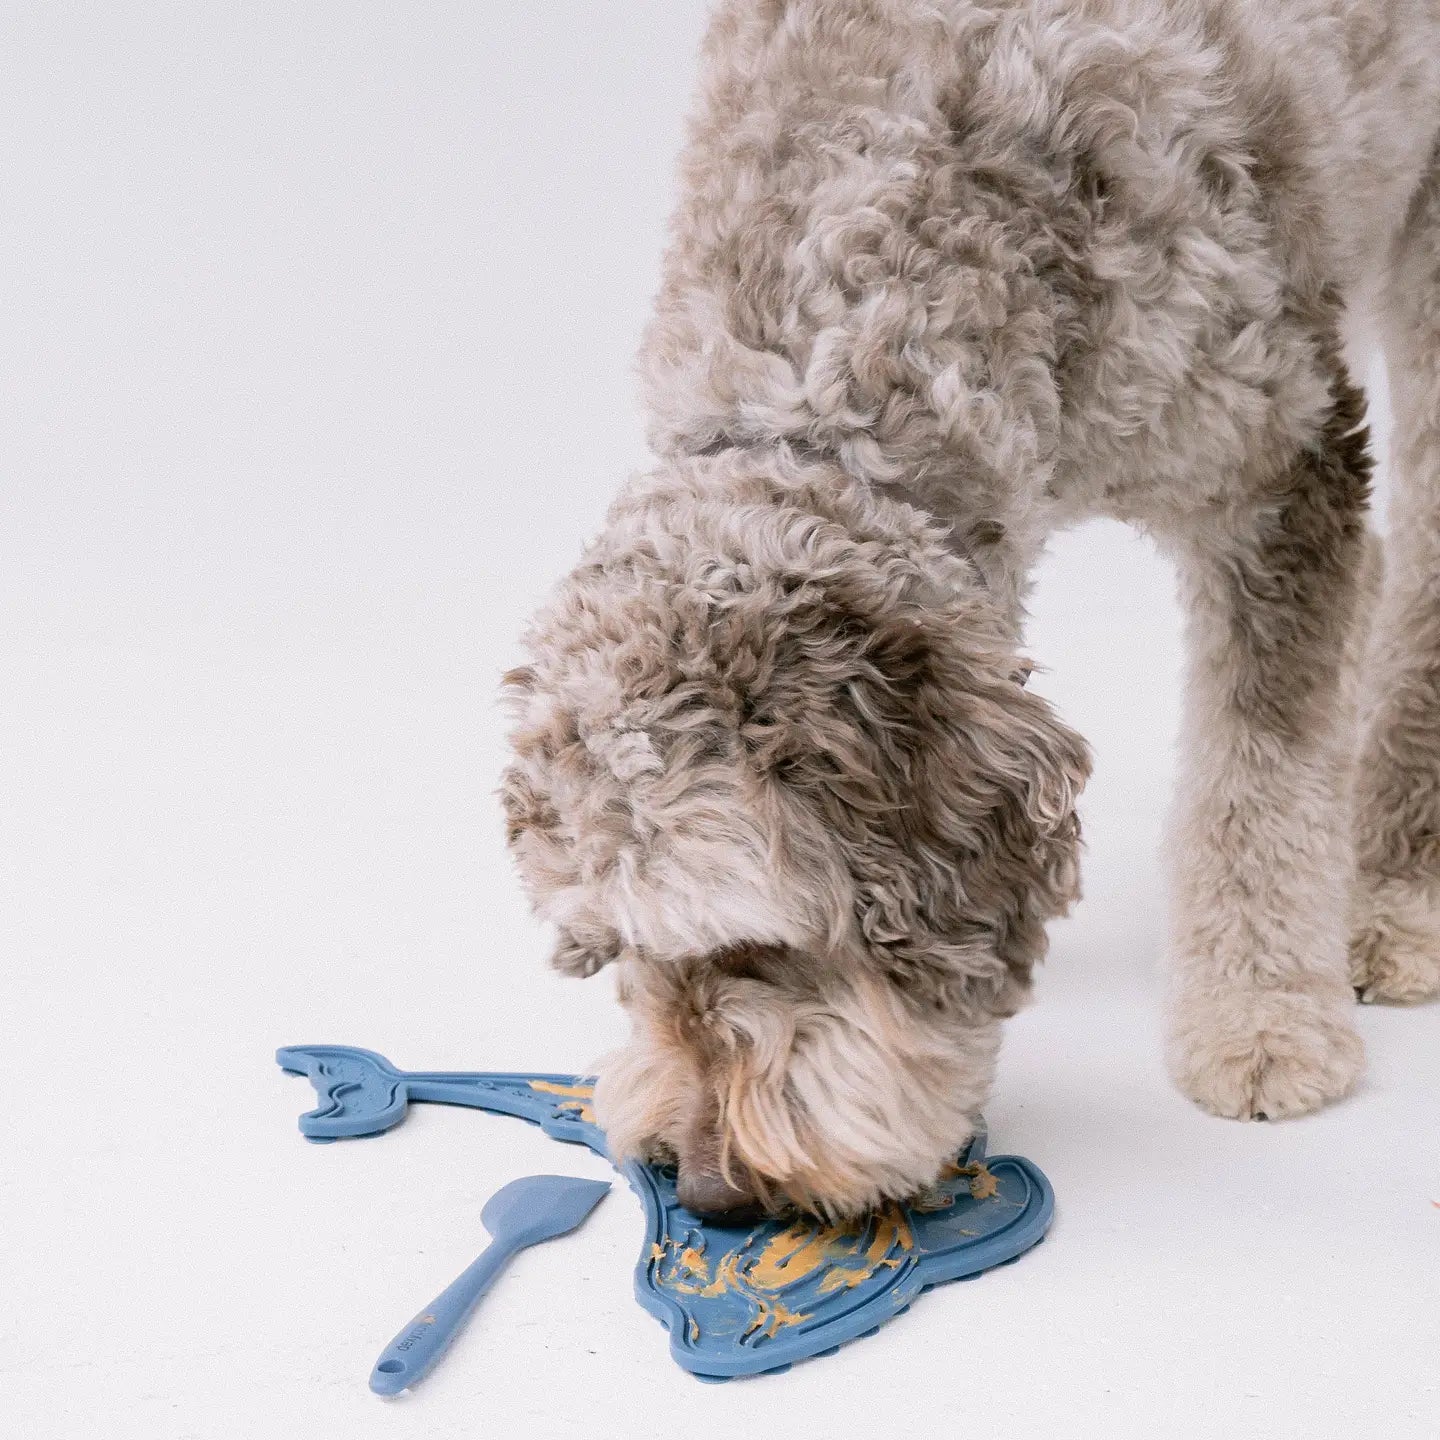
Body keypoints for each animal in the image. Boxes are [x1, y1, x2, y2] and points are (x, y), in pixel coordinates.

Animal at [501, 0, 1440, 1221]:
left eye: (757, 943)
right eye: (616, 956)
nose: (706, 1192)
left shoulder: (1280, 463)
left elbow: (1260, 774)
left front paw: (1262, 1015)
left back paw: (1393, 890)